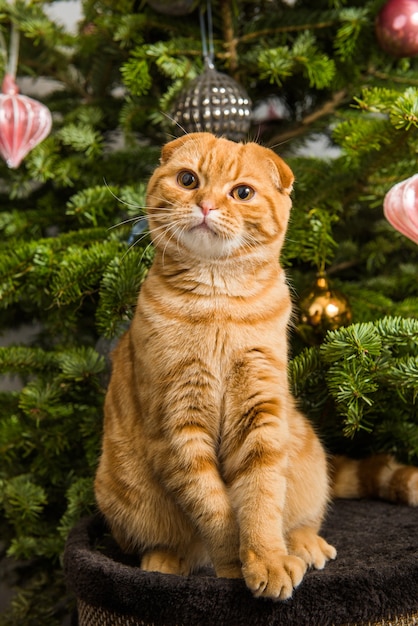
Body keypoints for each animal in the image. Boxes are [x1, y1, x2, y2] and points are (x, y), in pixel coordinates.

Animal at [94, 133, 418, 600]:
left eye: (242, 192)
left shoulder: (261, 413)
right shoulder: (177, 424)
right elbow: (214, 507)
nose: (207, 204)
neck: (218, 301)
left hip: (304, 450)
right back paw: (164, 562)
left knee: (302, 516)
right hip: (120, 490)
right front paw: (236, 566)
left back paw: (304, 546)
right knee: (166, 541)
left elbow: (262, 497)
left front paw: (267, 558)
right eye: (188, 180)